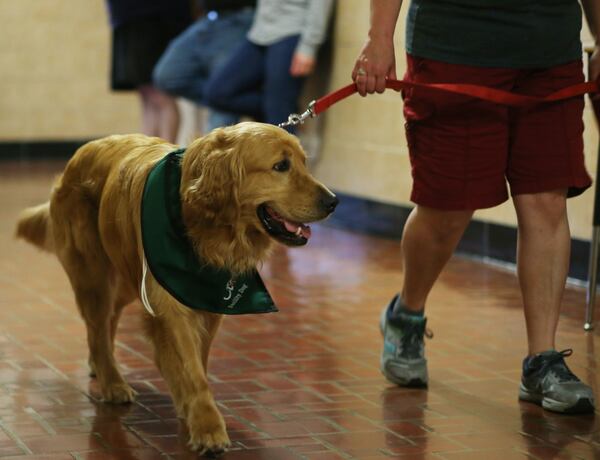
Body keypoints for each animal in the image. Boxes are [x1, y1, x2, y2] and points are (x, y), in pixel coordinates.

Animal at [16, 121, 338, 452]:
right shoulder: (169, 303)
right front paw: (207, 426)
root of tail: (80, 154)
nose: (333, 201)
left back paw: (100, 365)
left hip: (125, 276)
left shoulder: (209, 303)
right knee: (97, 324)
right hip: (95, 274)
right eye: (281, 166)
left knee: (107, 322)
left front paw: (190, 407)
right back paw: (112, 381)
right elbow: (192, 369)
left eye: (304, 162)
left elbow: (200, 360)